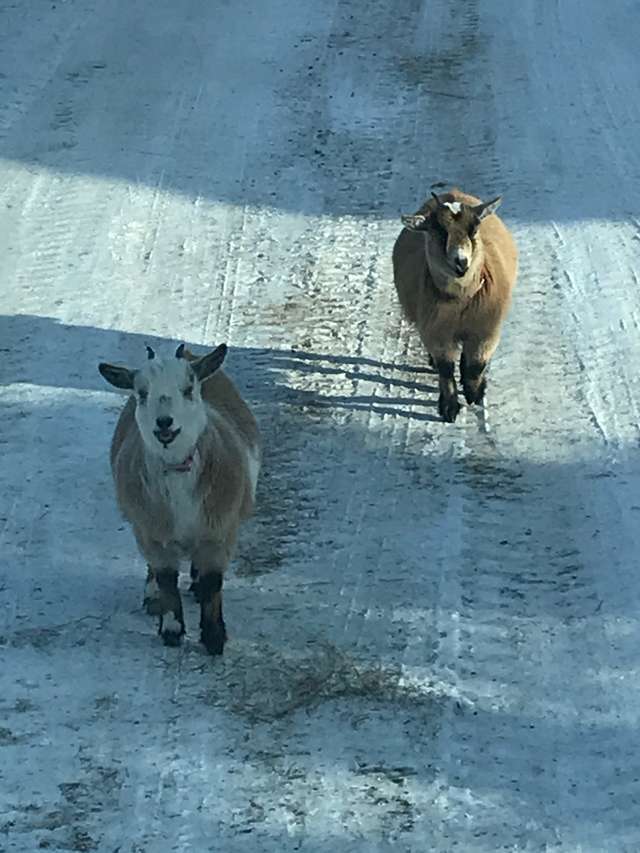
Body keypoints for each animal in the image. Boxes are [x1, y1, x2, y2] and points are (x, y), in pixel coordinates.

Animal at [392, 190, 516, 422]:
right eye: (439, 231)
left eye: (474, 229)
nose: (461, 262)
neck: (461, 298)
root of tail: (453, 192)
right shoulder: (436, 333)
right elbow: (445, 370)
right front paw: (449, 408)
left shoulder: (486, 331)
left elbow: (476, 366)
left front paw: (474, 393)